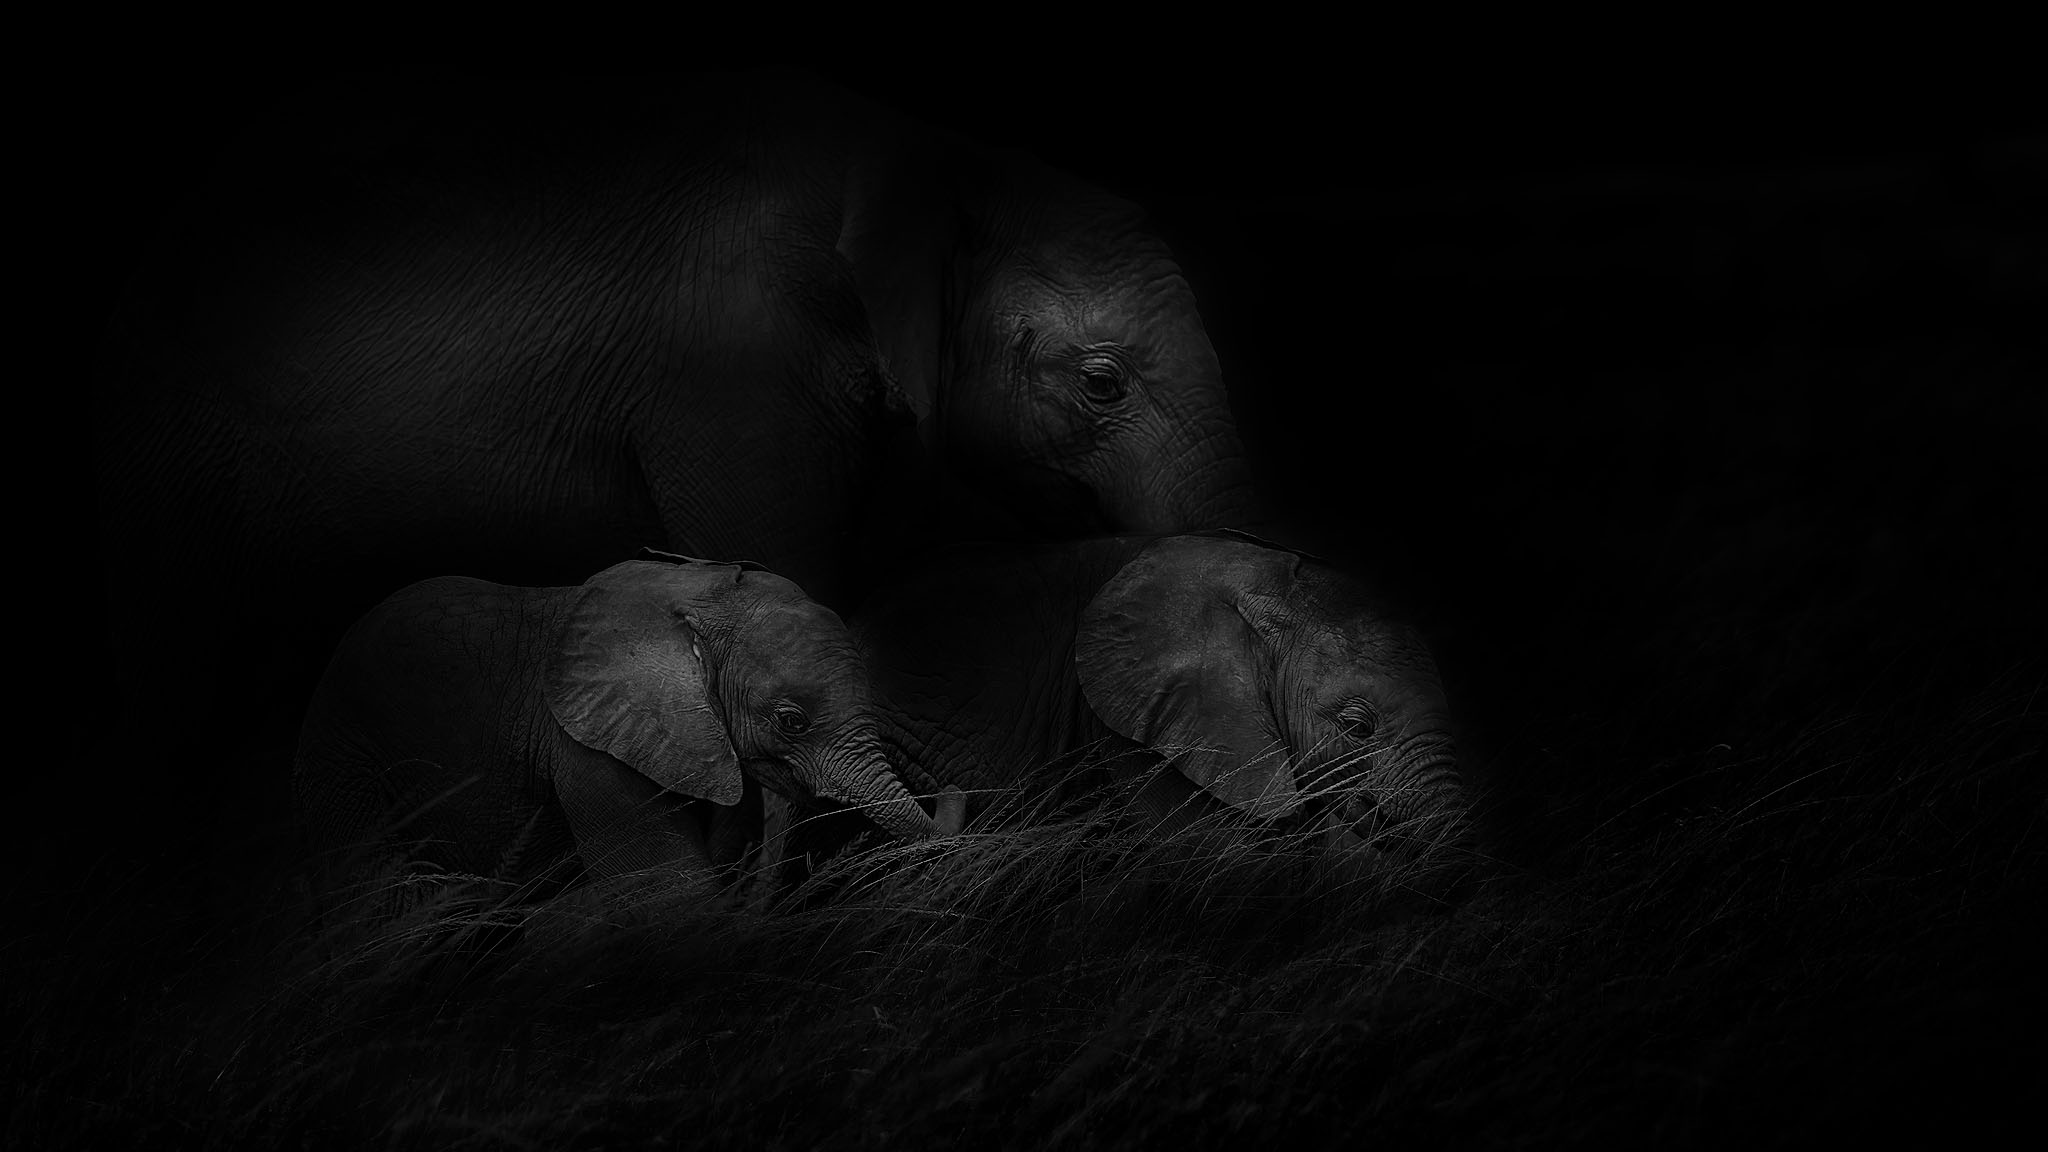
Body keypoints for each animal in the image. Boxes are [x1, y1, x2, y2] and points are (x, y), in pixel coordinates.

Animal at [293, 551, 961, 910]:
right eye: (790, 721)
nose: (947, 787)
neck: (693, 594)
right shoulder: (588, 749)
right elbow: (674, 899)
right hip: (345, 771)